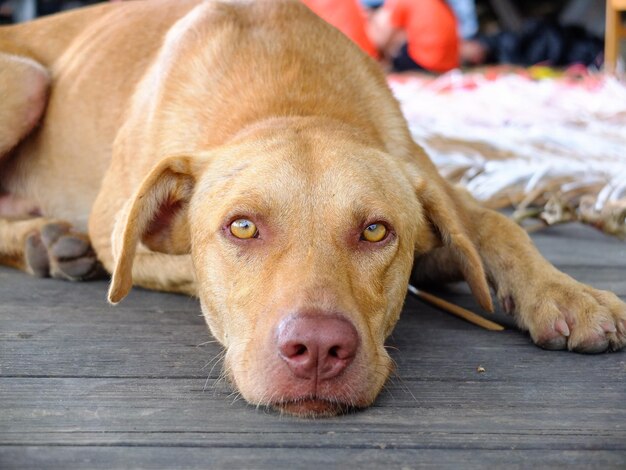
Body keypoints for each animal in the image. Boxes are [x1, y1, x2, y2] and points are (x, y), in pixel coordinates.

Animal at [1, 0, 624, 418]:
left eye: (375, 231)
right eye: (242, 227)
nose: (320, 350)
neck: (288, 96)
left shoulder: (436, 186)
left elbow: (497, 226)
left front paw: (565, 292)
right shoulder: (117, 232)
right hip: (28, 80)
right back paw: (44, 240)